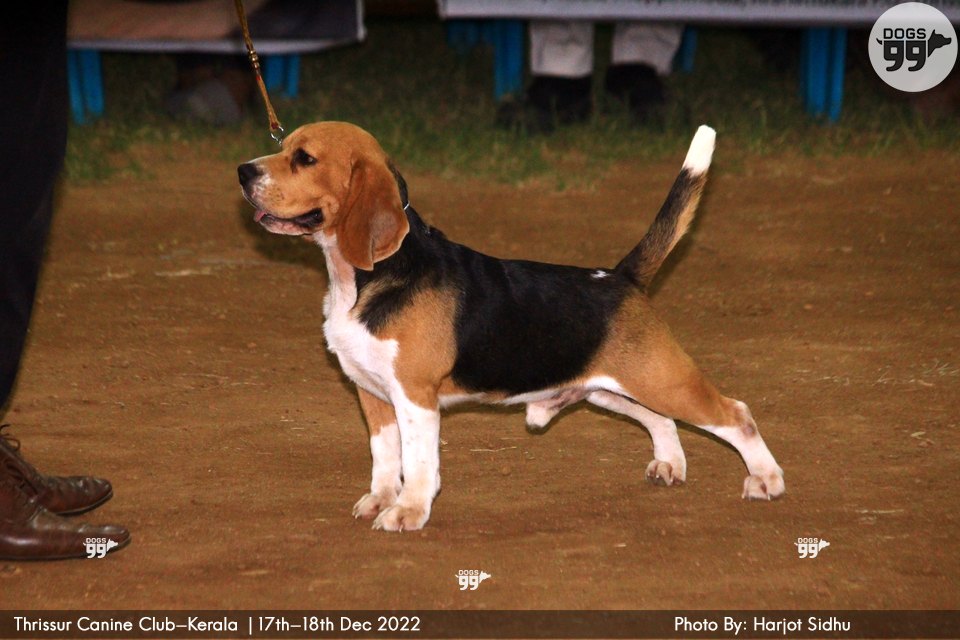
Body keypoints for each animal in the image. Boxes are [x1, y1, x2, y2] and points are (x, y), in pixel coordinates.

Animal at [238, 122, 784, 532]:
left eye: (304, 158)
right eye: (282, 148)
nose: (243, 171)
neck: (364, 276)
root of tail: (620, 276)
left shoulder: (414, 396)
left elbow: (417, 463)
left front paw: (408, 512)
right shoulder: (372, 394)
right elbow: (384, 458)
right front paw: (379, 499)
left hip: (662, 379)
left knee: (736, 414)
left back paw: (766, 479)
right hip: (605, 388)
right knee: (661, 418)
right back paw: (671, 464)